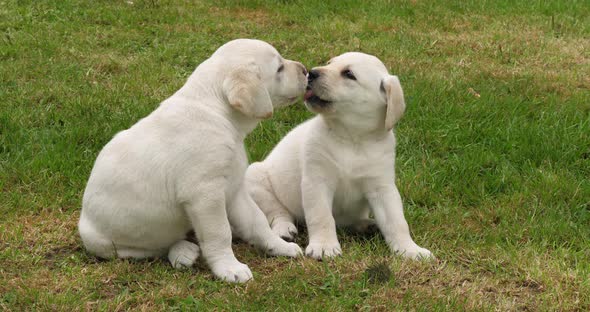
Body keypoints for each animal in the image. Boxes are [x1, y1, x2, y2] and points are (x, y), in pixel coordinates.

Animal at [78, 39, 310, 282]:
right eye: (279, 69)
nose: (305, 70)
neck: (217, 113)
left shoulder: (234, 191)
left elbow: (257, 221)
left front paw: (279, 246)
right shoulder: (205, 196)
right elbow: (220, 234)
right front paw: (229, 268)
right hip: (114, 245)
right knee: (155, 248)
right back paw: (183, 251)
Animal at [246, 51, 434, 260]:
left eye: (349, 74)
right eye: (329, 63)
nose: (311, 73)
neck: (352, 138)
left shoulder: (382, 187)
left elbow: (397, 221)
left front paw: (409, 249)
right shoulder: (317, 182)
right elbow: (322, 217)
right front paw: (324, 246)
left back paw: (366, 225)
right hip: (257, 178)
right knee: (278, 212)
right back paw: (284, 229)